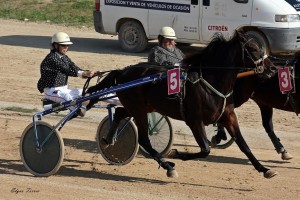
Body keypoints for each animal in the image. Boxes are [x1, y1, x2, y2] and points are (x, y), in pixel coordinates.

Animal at [86, 30, 276, 178]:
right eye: (253, 48)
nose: (272, 69)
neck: (210, 81)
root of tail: (122, 71)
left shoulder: (228, 116)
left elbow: (244, 145)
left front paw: (265, 169)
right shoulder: (194, 120)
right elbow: (205, 149)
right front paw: (176, 154)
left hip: (141, 107)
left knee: (119, 113)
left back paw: (108, 139)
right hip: (138, 110)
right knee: (144, 139)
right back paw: (168, 167)